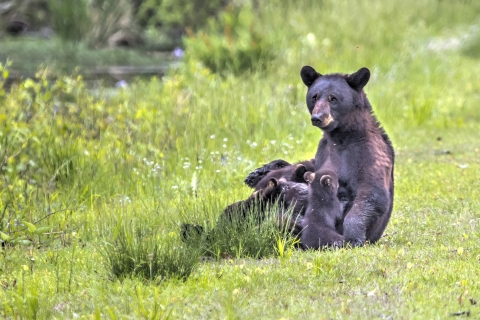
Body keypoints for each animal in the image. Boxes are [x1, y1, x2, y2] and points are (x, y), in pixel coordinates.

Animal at [300, 65, 394, 248]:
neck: (342, 137)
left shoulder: (369, 152)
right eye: (314, 96)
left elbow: (372, 191)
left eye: (333, 98)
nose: (317, 118)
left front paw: (353, 236)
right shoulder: (323, 151)